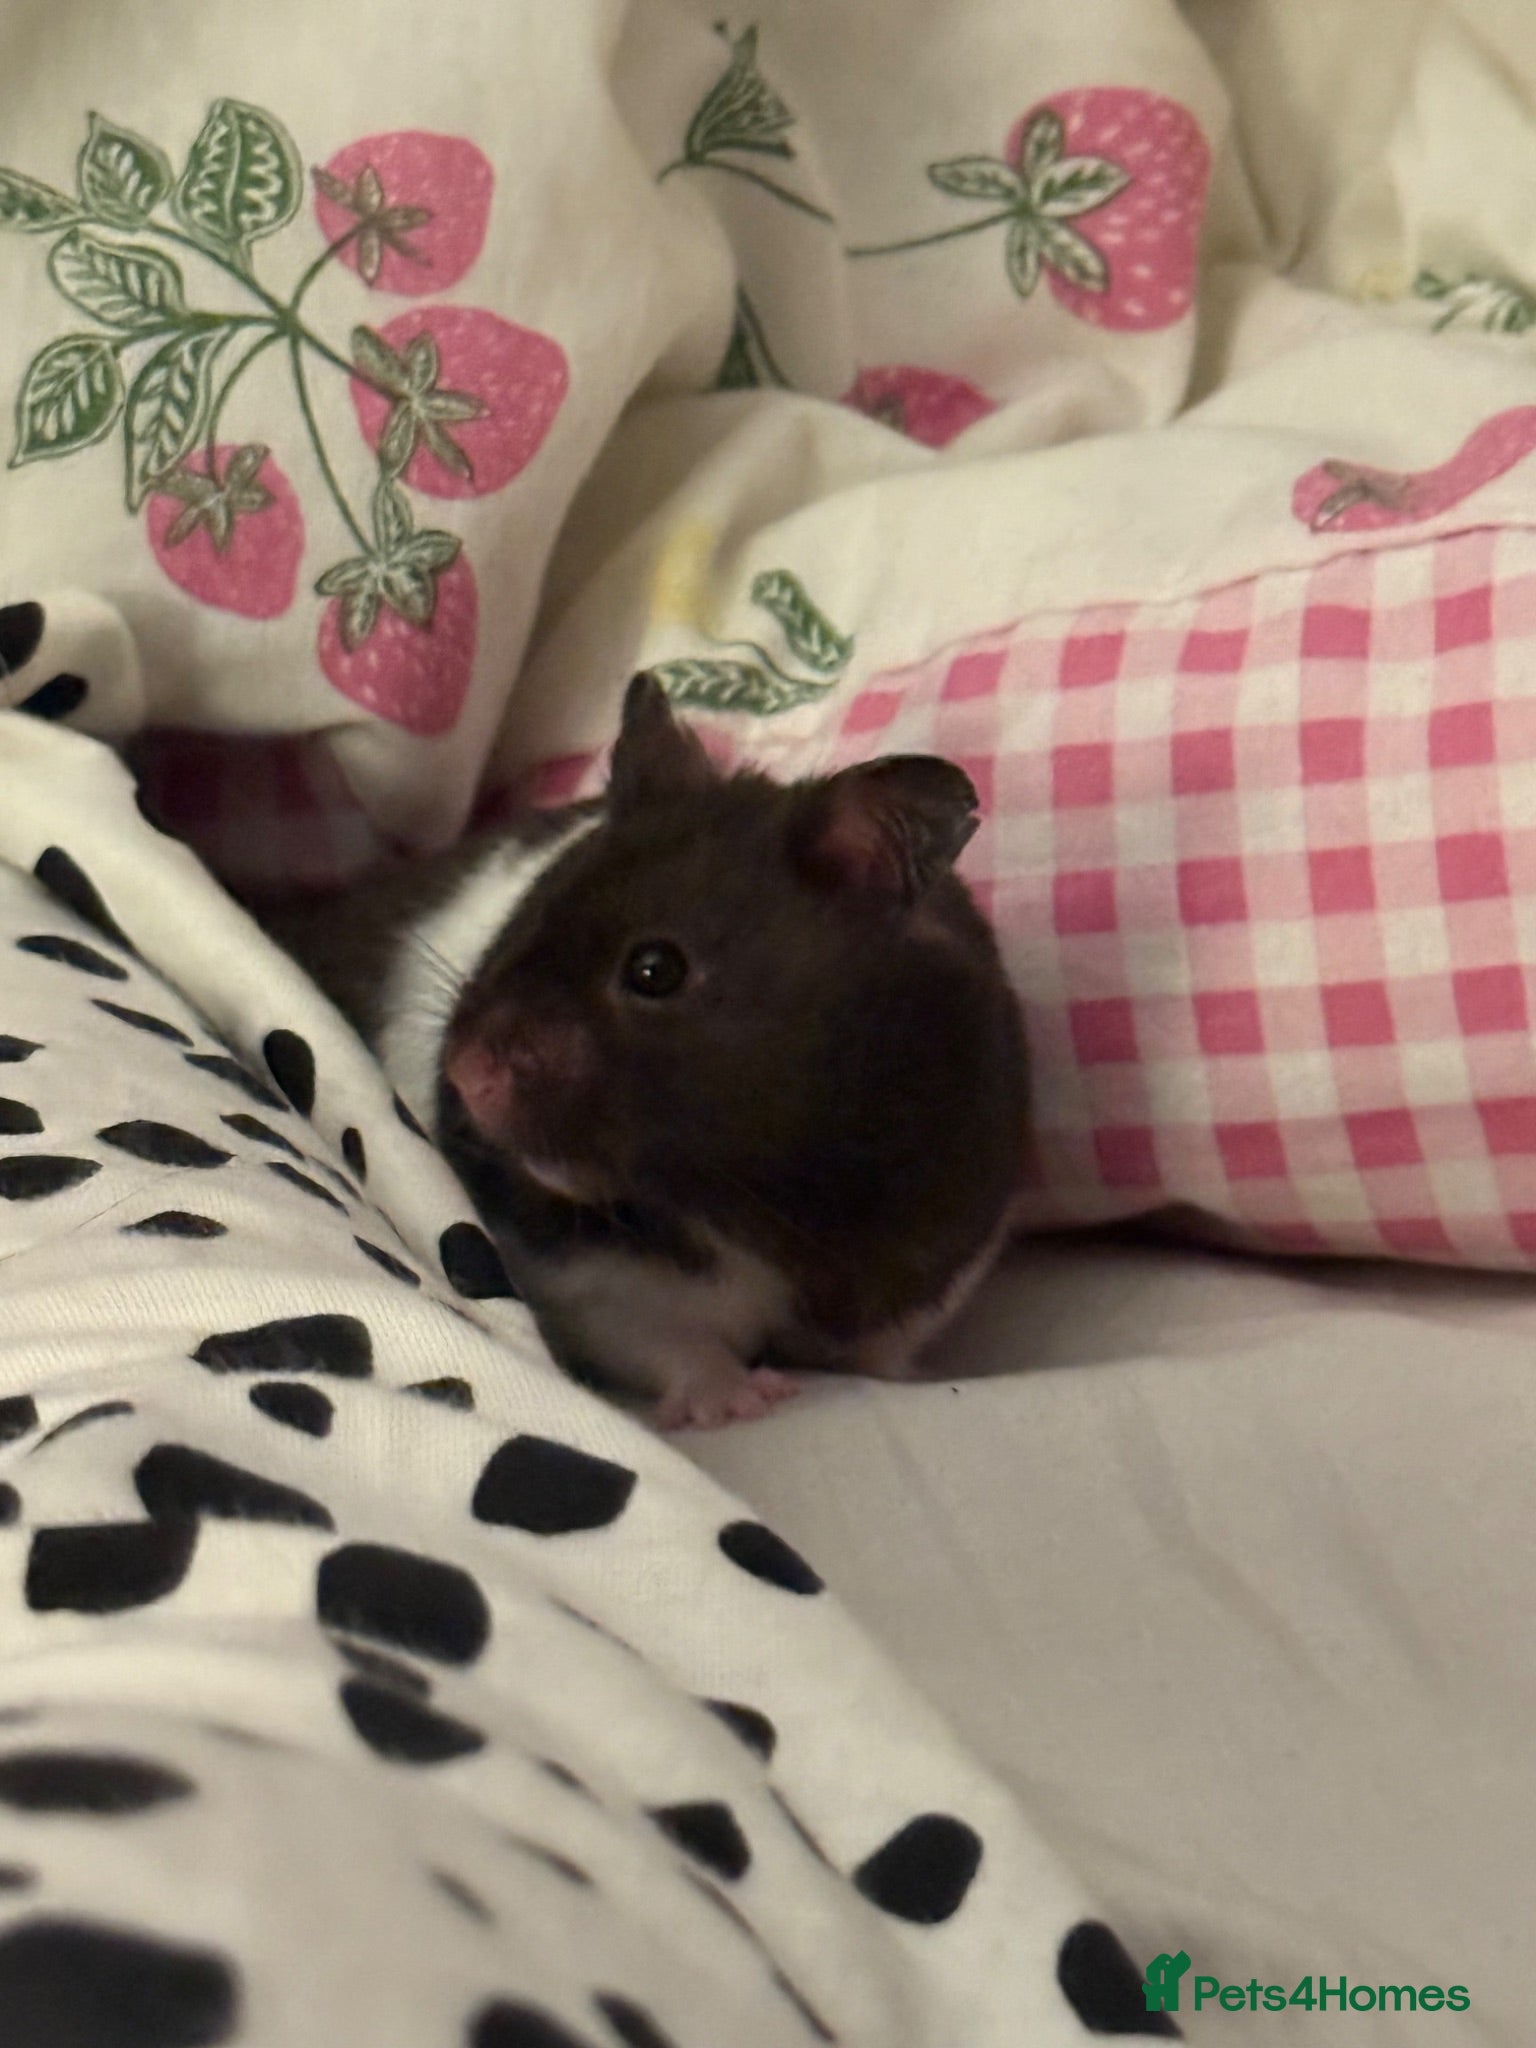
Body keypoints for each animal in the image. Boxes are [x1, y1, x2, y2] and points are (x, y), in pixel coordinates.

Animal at [272, 673, 1028, 1428]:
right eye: (532, 912)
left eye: (654, 970)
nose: (466, 1077)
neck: (751, 1192)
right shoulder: (573, 1273)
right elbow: (666, 1338)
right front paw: (746, 1400)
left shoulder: (945, 1250)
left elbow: (884, 1350)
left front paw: (920, 1383)